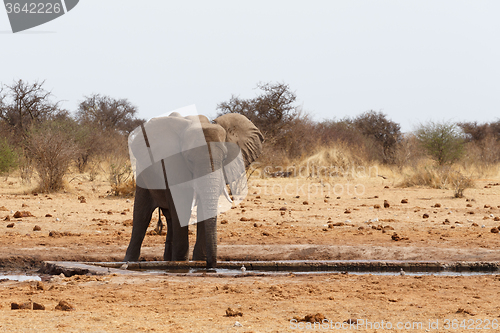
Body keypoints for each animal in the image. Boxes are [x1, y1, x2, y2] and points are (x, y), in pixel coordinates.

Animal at [123, 111, 264, 268]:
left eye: (225, 158)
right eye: (189, 160)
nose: (211, 266)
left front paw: (199, 260)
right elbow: (181, 206)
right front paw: (182, 262)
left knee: (169, 217)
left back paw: (168, 260)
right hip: (142, 173)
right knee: (142, 215)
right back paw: (130, 261)